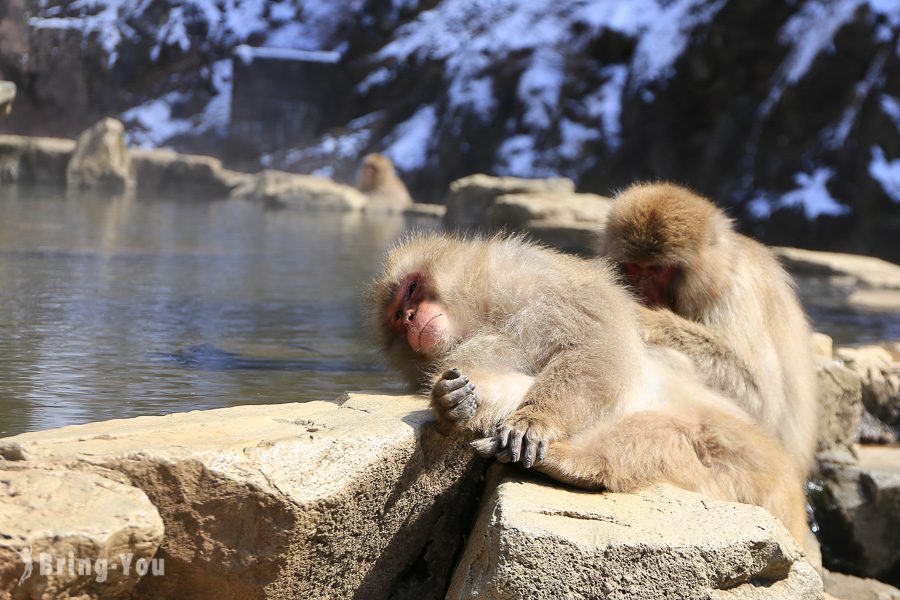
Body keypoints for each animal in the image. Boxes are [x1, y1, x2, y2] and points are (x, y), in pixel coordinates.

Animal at [370, 234, 808, 548]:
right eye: (395, 315)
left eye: (412, 289)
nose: (408, 317)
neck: (482, 311)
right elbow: (500, 379)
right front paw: (452, 403)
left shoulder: (537, 278)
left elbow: (598, 349)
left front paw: (535, 420)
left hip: (742, 455)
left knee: (668, 436)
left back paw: (578, 464)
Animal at [600, 183, 820, 474]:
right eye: (635, 267)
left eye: (659, 269)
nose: (640, 292)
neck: (718, 274)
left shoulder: (738, 292)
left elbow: (759, 397)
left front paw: (642, 317)